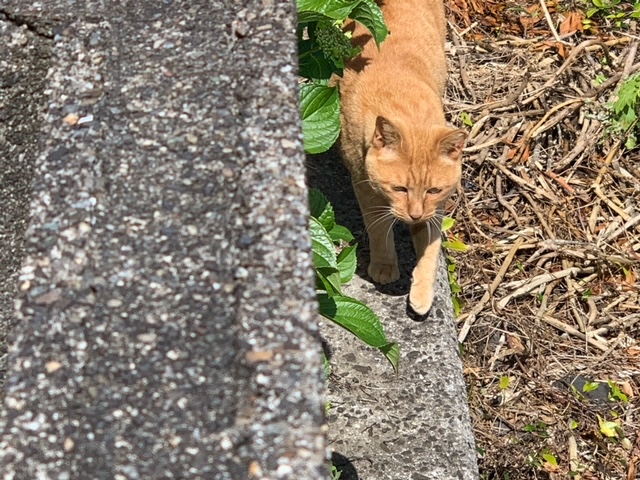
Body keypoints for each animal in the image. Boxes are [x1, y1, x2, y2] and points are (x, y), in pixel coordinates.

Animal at [340, 0, 464, 316]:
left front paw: (422, 293)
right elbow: (378, 228)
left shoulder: (435, 209)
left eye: (433, 190)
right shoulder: (365, 188)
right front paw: (385, 265)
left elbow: (431, 249)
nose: (415, 214)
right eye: (399, 188)